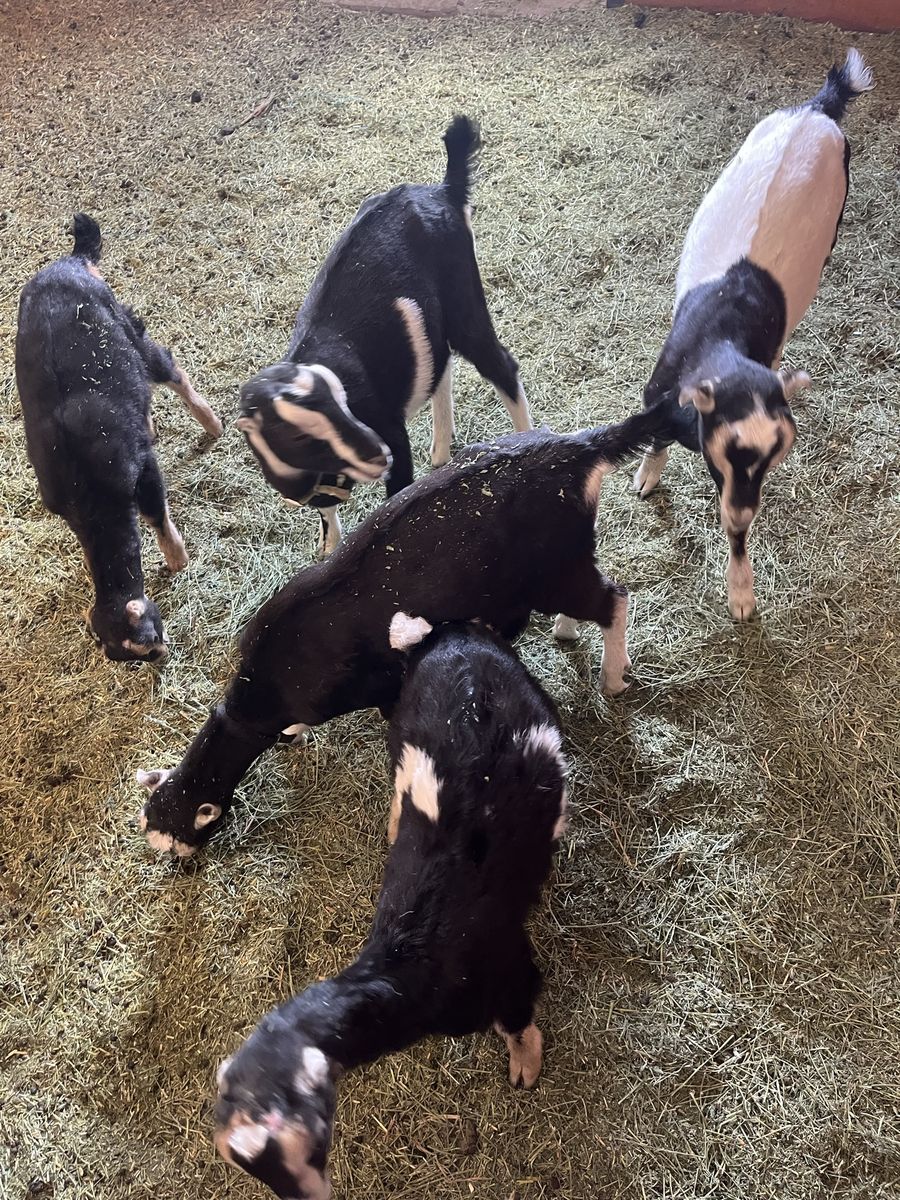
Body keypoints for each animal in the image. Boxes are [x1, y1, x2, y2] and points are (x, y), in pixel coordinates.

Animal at [15, 214, 222, 661]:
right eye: (138, 652)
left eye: (150, 640)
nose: (163, 659)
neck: (90, 499)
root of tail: (72, 261)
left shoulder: (139, 469)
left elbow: (155, 511)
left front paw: (177, 558)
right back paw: (151, 423)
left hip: (127, 327)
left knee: (167, 367)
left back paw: (211, 422)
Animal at [136, 405, 668, 855]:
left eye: (183, 841)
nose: (180, 865)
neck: (271, 679)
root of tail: (579, 449)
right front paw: (295, 731)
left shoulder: (383, 689)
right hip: (561, 567)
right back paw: (566, 630)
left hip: (557, 567)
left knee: (614, 599)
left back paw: (613, 676)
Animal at [213, 621, 566, 1200]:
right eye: (247, 1165)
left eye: (308, 1138)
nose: (311, 1198)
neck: (413, 961)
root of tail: (459, 635)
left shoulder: (510, 967)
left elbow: (519, 1020)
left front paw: (525, 1066)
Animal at [237, 115, 531, 556]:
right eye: (301, 436)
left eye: (344, 402)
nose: (378, 454)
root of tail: (443, 190)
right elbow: (327, 513)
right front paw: (329, 547)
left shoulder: (390, 430)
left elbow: (394, 500)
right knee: (441, 363)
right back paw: (441, 452)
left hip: (464, 298)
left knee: (499, 364)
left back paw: (528, 440)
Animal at [632, 50, 873, 619]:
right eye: (729, 451)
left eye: (773, 459)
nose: (743, 514)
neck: (724, 335)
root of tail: (818, 108)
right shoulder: (660, 388)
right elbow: (654, 435)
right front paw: (648, 476)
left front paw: (741, 591)